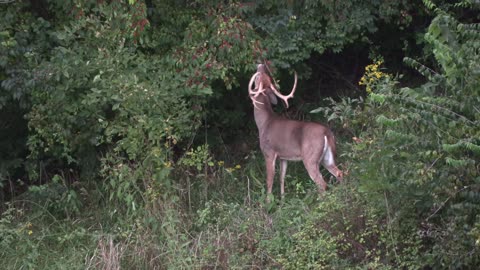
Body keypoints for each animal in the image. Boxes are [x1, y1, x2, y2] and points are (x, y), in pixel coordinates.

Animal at [249, 63, 344, 198]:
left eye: (257, 78)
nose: (261, 65)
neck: (264, 123)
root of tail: (327, 133)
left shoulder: (269, 152)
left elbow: (269, 181)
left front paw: (269, 202)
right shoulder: (283, 157)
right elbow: (282, 177)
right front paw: (283, 199)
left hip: (310, 157)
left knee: (322, 183)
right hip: (327, 157)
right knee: (339, 173)